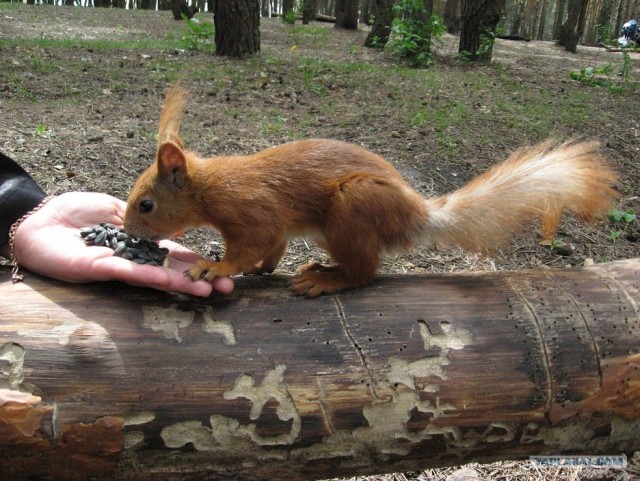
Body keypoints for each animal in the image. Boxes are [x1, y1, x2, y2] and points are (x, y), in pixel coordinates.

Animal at [122, 85, 616, 296]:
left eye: (146, 205)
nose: (126, 232)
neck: (210, 186)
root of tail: (414, 214)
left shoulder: (252, 210)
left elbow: (251, 245)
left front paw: (215, 266)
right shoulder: (276, 227)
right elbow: (273, 250)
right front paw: (263, 269)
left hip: (353, 207)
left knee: (364, 273)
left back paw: (325, 278)